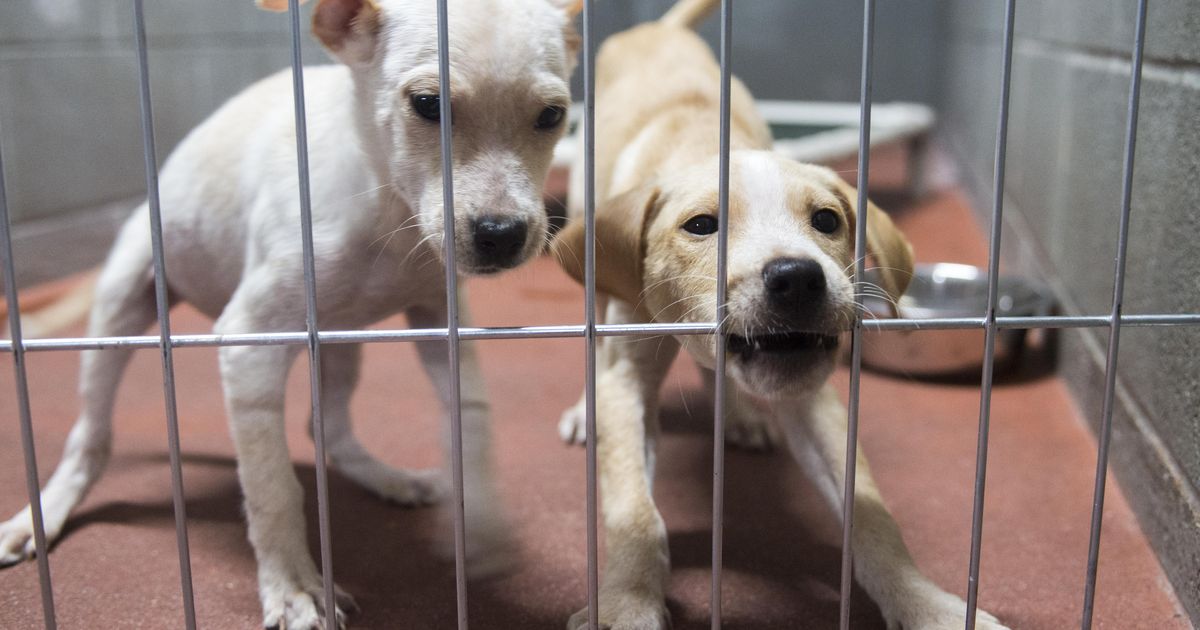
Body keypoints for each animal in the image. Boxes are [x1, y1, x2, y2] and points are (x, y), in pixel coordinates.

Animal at [0, 2, 580, 624]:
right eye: (428, 105)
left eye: (552, 116)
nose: (502, 234)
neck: (385, 204)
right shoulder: (248, 342)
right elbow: (273, 486)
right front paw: (293, 586)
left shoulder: (439, 322)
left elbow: (472, 416)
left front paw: (483, 524)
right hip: (119, 310)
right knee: (90, 435)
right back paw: (45, 511)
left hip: (343, 341)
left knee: (328, 428)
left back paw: (387, 478)